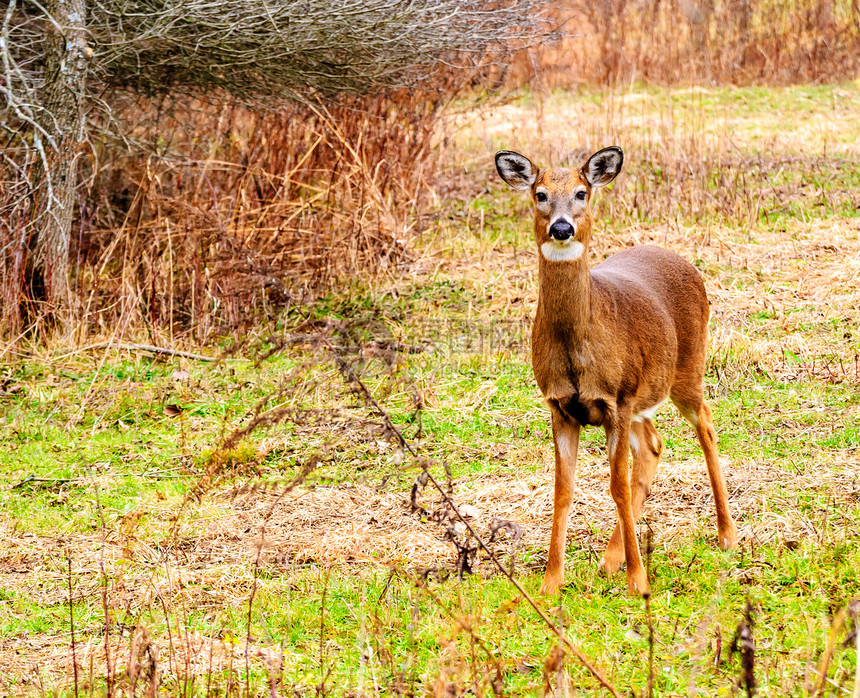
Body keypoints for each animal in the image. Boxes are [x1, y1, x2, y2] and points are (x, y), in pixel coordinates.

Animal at [498, 145, 740, 592]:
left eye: (581, 192)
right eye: (540, 194)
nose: (561, 228)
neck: (577, 345)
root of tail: (679, 258)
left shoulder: (617, 399)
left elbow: (617, 487)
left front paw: (639, 582)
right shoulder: (559, 405)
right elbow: (563, 490)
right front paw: (551, 583)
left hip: (687, 368)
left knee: (706, 425)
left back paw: (727, 535)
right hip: (645, 393)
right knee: (654, 445)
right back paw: (610, 560)